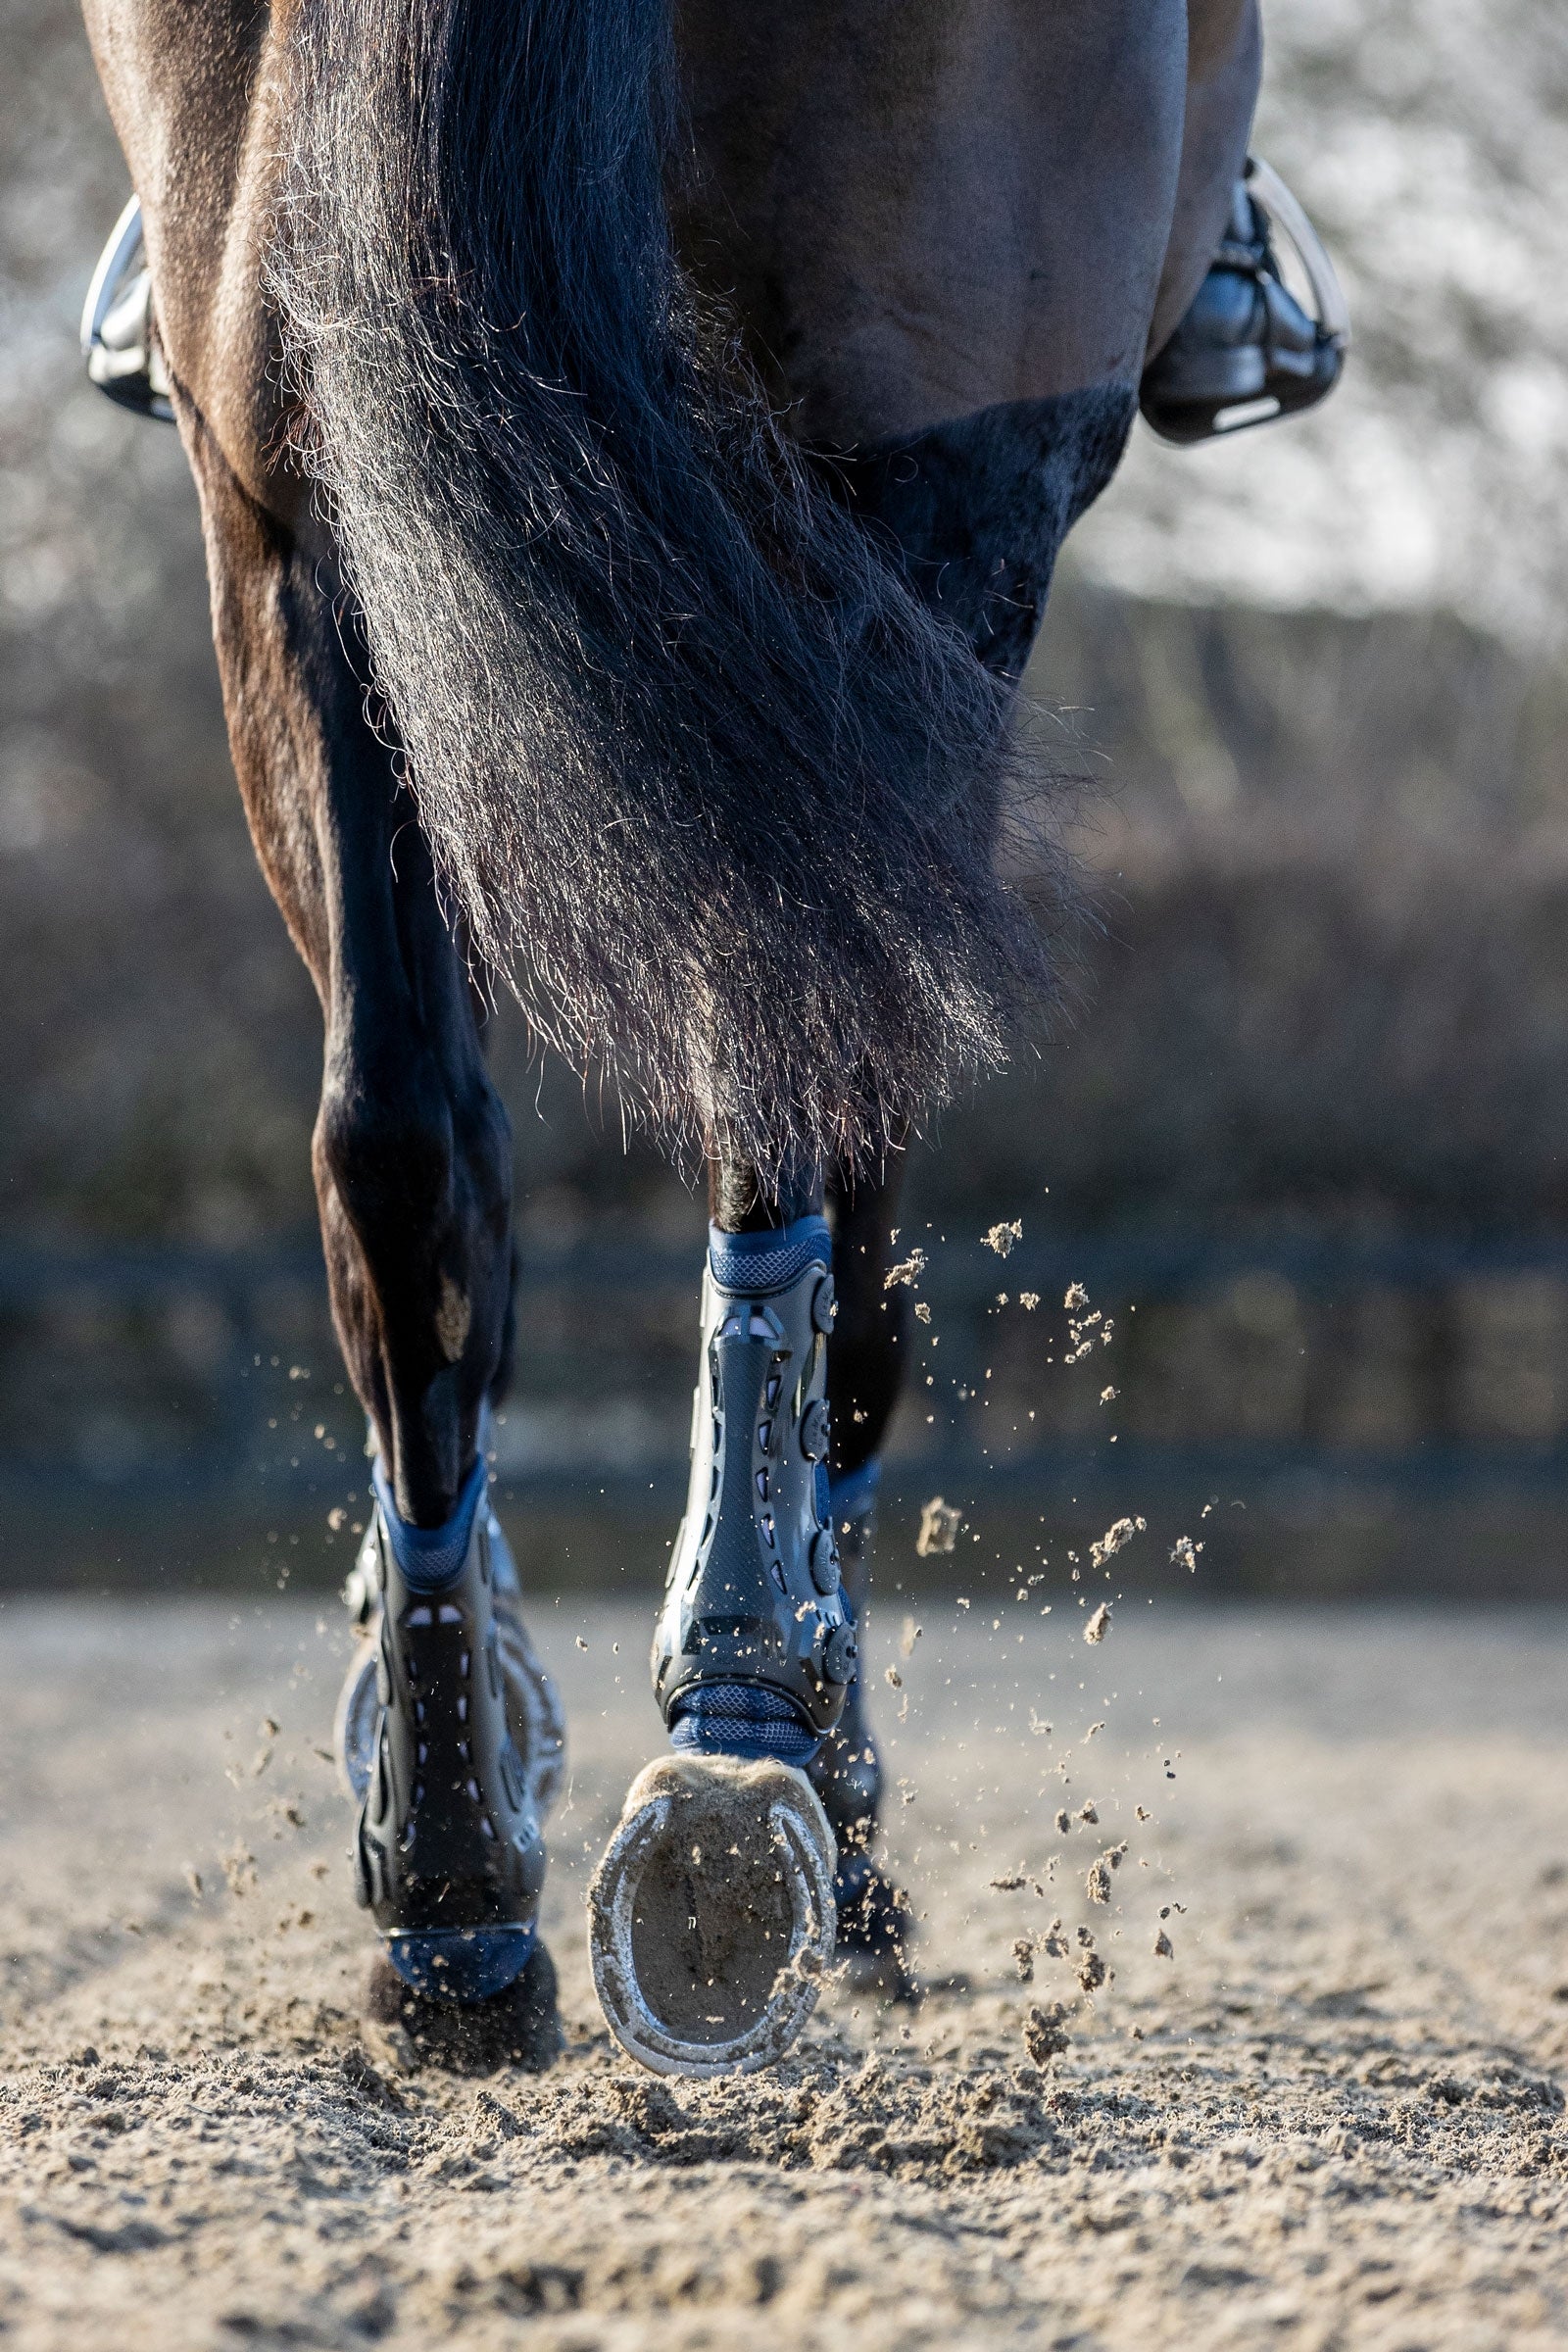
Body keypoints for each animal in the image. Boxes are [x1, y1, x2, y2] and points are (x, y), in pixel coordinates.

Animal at [80, 0, 1264, 2074]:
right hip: (939, 425)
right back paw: (743, 1754)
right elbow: (860, 1252)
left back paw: (457, 1883)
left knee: (401, 1152)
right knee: (787, 1058)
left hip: (291, 490)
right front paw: (827, 1779)